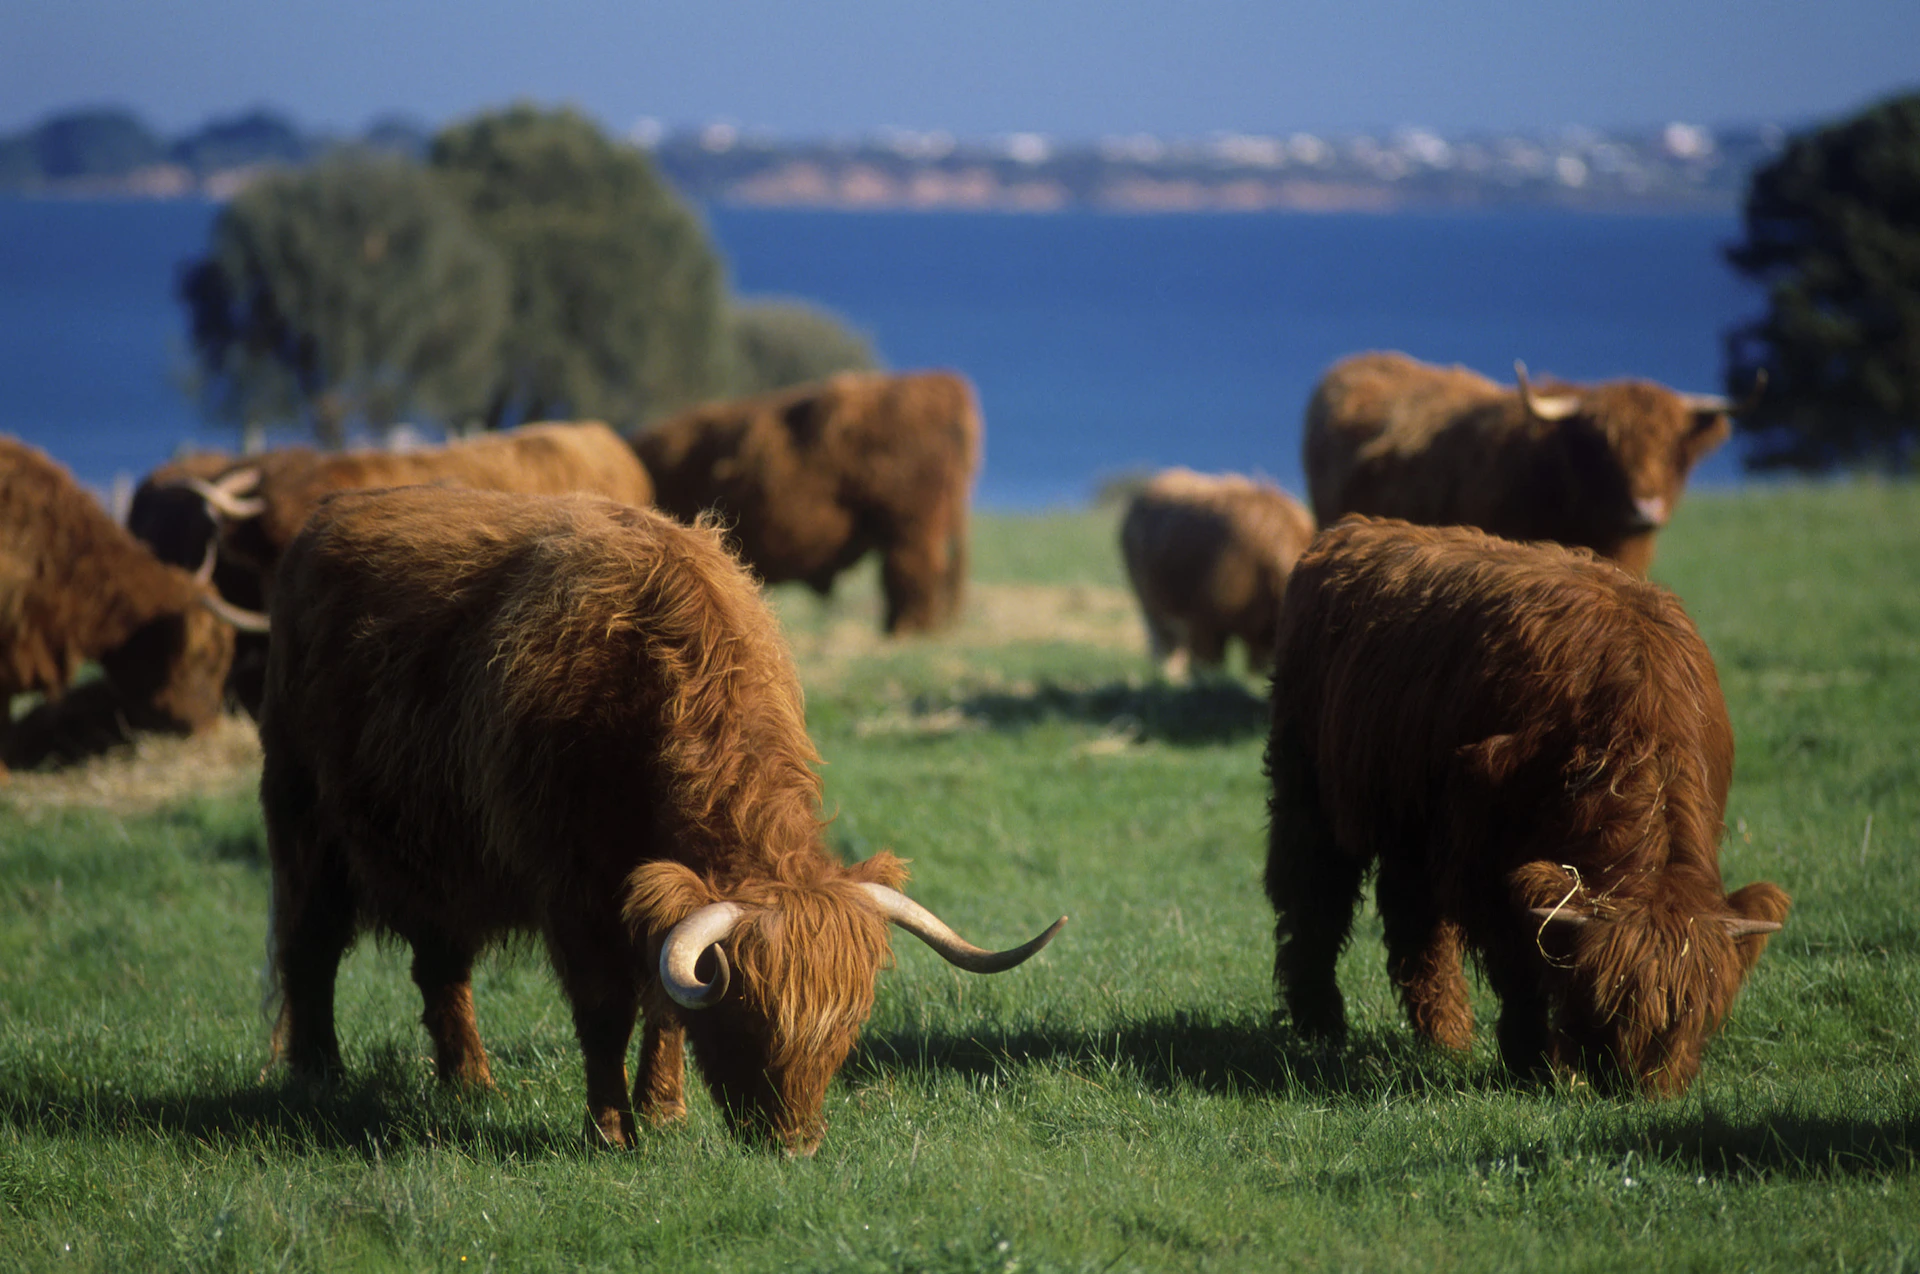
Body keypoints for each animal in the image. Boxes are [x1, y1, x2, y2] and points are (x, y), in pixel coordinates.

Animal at [259, 485, 1064, 1153]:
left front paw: (665, 1112)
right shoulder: (573, 890)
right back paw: (319, 1076)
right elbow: (606, 1010)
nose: (796, 1144)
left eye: (849, 1026)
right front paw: (613, 1129)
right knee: (311, 945)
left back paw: (470, 1086)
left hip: (438, 859)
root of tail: (329, 516)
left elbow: (667, 1003)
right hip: (304, 824)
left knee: (440, 966)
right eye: (747, 1019)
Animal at [1265, 516, 1789, 1097]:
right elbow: (1517, 960)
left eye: (1693, 1012)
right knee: (1314, 894)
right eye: (1607, 1003)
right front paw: (1534, 1058)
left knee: (1412, 916)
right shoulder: (1482, 849)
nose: (1635, 1085)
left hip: (1410, 818)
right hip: (1307, 785)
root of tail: (1353, 530)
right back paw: (1319, 1022)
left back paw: (1444, 1035)